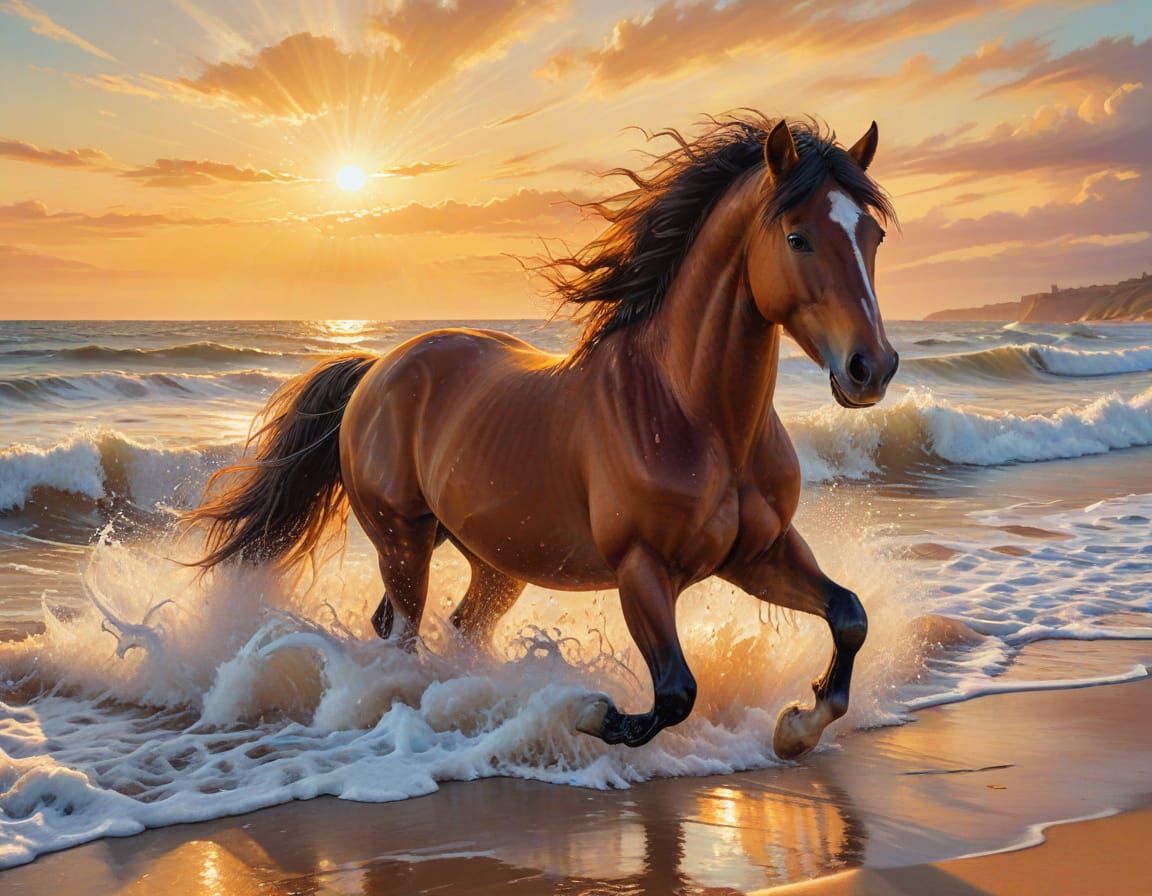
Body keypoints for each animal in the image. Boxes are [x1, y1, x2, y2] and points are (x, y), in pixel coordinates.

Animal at [188, 114, 898, 760]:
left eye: (874, 236)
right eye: (798, 237)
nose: (872, 368)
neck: (696, 418)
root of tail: (378, 368)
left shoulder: (760, 553)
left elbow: (851, 617)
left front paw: (795, 728)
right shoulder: (642, 569)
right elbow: (674, 693)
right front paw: (587, 712)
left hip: (495, 560)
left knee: (453, 627)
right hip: (402, 541)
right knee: (402, 635)